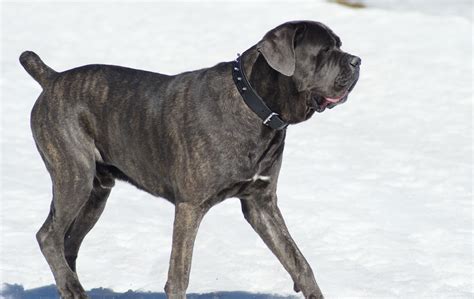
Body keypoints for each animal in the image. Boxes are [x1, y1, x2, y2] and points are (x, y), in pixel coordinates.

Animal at [19, 20, 360, 299]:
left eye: (339, 45)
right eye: (324, 50)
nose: (357, 60)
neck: (255, 105)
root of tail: (53, 79)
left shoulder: (260, 203)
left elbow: (297, 260)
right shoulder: (190, 206)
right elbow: (179, 275)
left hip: (97, 192)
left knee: (68, 243)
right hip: (75, 175)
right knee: (48, 235)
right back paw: (73, 286)